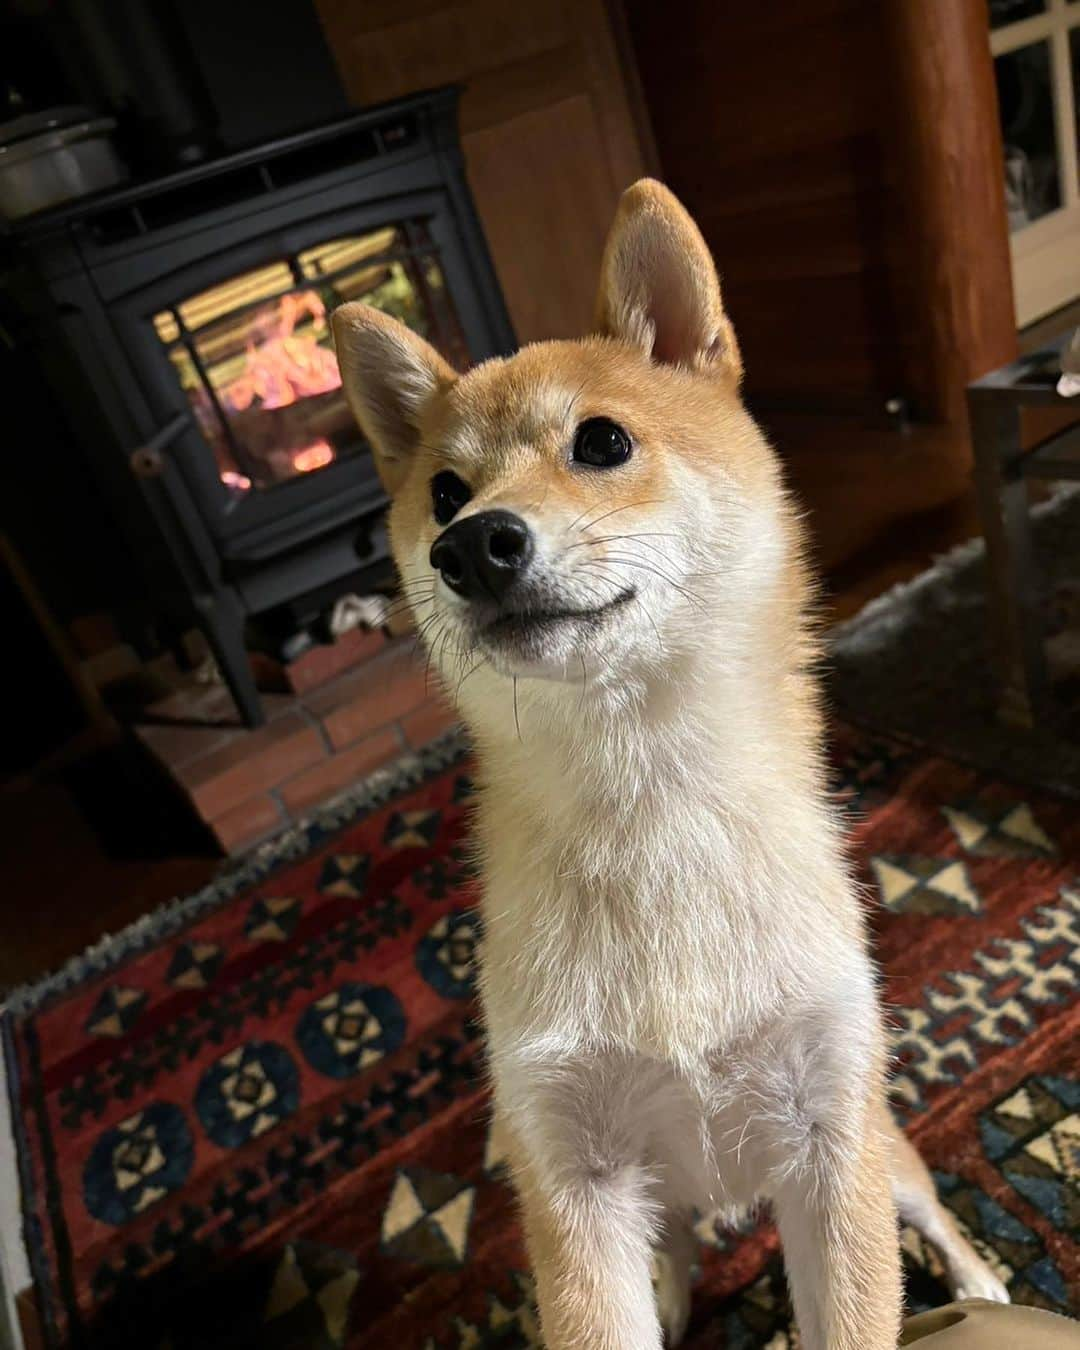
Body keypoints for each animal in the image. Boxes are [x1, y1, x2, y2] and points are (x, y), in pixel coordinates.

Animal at [333, 182, 1009, 1350]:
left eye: (601, 441)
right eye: (445, 493)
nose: (468, 547)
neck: (647, 804)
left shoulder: (830, 1142)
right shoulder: (574, 1178)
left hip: (883, 1149)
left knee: (927, 1205)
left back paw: (980, 1281)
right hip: (654, 1198)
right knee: (682, 1241)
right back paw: (684, 1291)